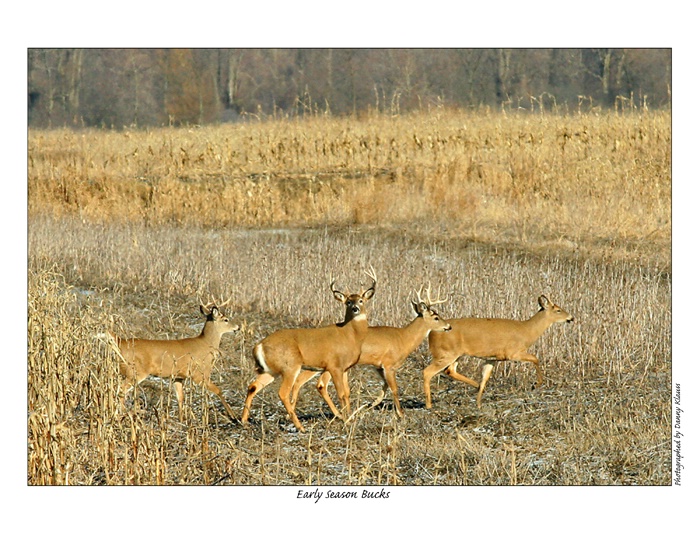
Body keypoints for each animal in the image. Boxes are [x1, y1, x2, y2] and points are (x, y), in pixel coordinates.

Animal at [107, 302, 241, 420]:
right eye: (226, 319)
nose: (238, 327)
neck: (206, 344)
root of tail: (120, 341)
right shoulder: (200, 373)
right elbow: (219, 390)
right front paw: (234, 417)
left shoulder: (178, 377)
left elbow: (180, 398)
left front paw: (182, 420)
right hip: (136, 371)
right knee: (121, 391)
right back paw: (124, 414)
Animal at [243, 268, 380, 432]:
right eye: (348, 302)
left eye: (361, 300)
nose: (355, 308)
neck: (351, 335)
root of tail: (259, 345)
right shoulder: (334, 366)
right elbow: (340, 393)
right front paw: (345, 419)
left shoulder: (345, 368)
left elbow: (347, 393)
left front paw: (349, 416)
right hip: (290, 366)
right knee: (283, 393)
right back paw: (300, 427)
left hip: (271, 370)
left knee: (253, 386)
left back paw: (243, 420)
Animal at [292, 286, 452, 418]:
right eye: (436, 317)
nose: (448, 326)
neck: (403, 338)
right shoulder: (388, 364)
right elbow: (394, 388)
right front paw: (400, 413)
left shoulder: (378, 366)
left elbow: (384, 388)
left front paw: (370, 405)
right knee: (318, 384)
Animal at [424, 296, 572, 410]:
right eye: (558, 310)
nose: (571, 318)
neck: (527, 331)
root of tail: (430, 333)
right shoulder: (513, 352)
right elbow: (535, 358)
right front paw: (536, 384)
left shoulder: (492, 358)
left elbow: (485, 377)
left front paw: (478, 404)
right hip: (446, 353)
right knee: (428, 372)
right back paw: (429, 405)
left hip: (455, 354)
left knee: (450, 371)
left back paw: (475, 386)